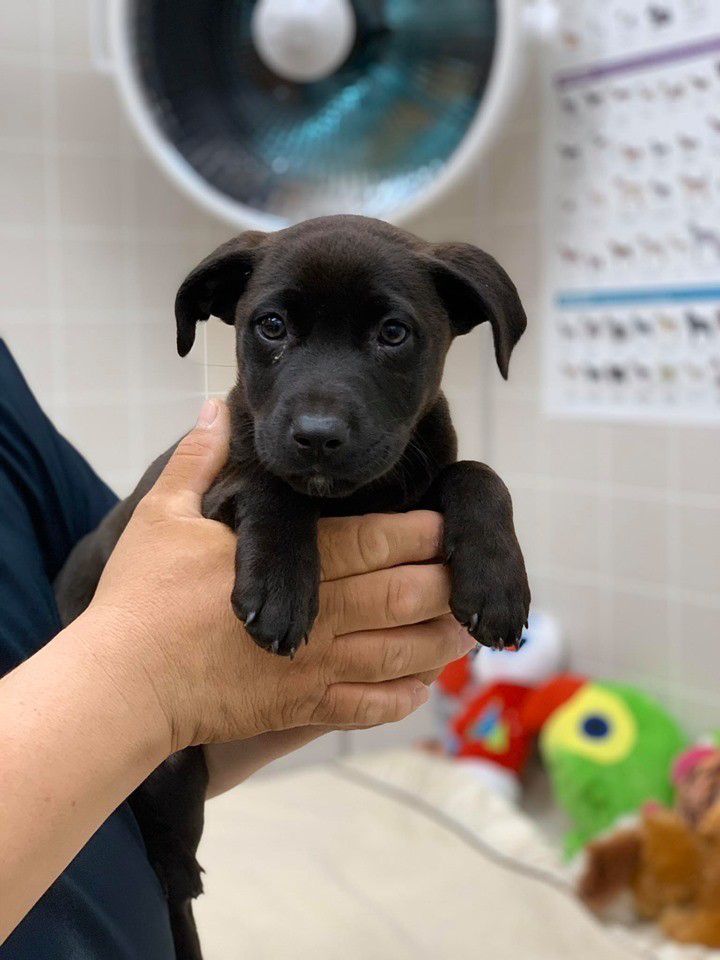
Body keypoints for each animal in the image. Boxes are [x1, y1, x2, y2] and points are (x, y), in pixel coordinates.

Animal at [54, 218, 528, 960]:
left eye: (394, 333)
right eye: (270, 326)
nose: (317, 437)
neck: (350, 500)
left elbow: (478, 473)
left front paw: (498, 578)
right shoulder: (221, 486)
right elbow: (270, 483)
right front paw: (281, 588)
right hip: (170, 775)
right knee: (172, 880)